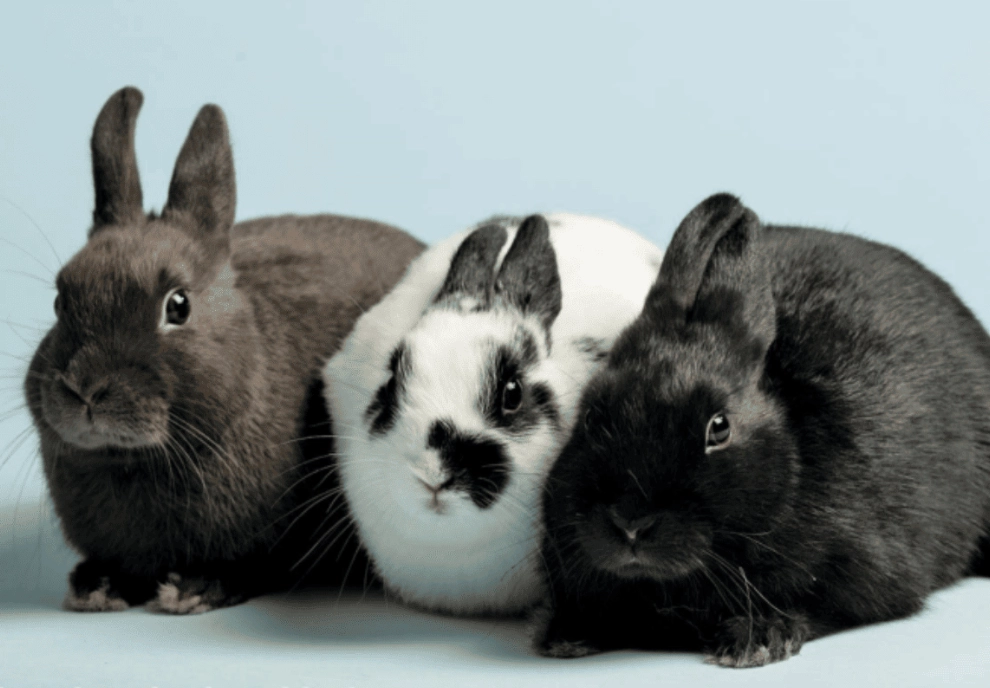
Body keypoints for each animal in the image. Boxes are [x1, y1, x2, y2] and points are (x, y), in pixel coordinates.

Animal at [22, 86, 424, 614]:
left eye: (178, 305)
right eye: (60, 301)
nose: (86, 390)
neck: (134, 459)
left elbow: (251, 565)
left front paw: (190, 589)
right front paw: (97, 586)